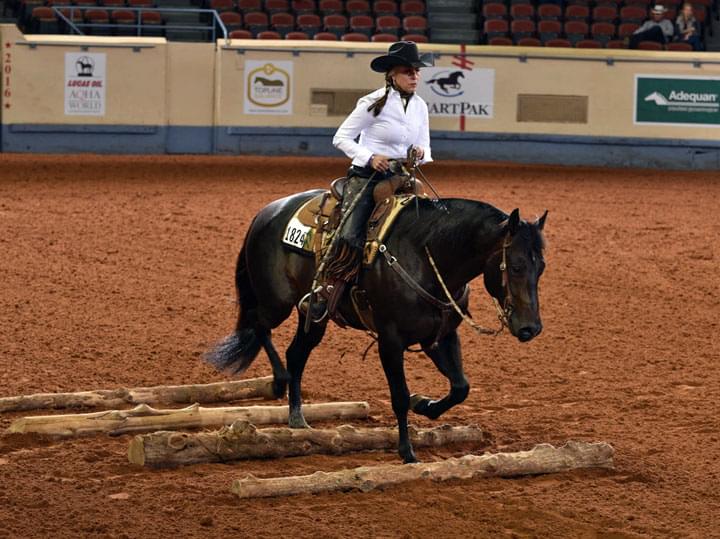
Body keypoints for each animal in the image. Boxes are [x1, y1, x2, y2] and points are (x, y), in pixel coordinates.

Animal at [205, 191, 548, 464]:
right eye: (516, 265)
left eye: (541, 267)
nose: (531, 328)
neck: (427, 256)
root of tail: (266, 211)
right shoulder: (390, 340)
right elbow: (399, 395)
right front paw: (407, 451)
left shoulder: (440, 337)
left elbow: (460, 387)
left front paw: (425, 405)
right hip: (275, 302)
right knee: (258, 325)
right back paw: (279, 382)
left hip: (314, 316)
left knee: (296, 353)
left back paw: (297, 416)